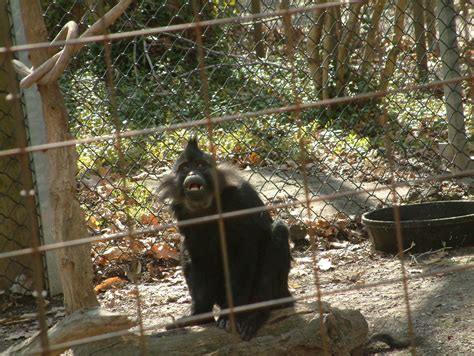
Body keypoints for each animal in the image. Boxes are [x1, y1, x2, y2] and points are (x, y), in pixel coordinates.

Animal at [158, 138, 292, 340]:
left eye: (200, 165)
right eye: (184, 167)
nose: (192, 173)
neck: (208, 206)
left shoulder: (238, 200)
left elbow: (242, 253)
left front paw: (233, 316)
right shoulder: (183, 213)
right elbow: (196, 254)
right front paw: (198, 314)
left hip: (278, 290)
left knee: (279, 230)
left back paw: (255, 315)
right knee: (185, 247)